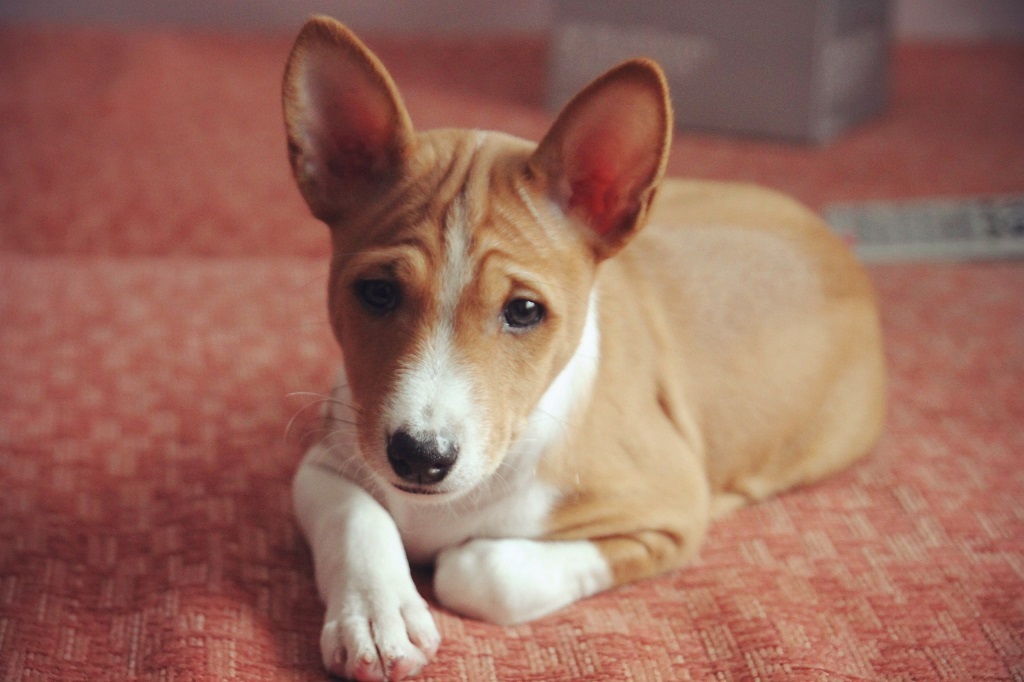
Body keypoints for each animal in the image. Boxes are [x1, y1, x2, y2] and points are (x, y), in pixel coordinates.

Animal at [282, 15, 888, 679]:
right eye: (378, 292)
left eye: (523, 311)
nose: (420, 457)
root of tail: (835, 239)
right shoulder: (327, 458)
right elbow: (357, 517)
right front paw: (376, 614)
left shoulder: (669, 507)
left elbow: (481, 572)